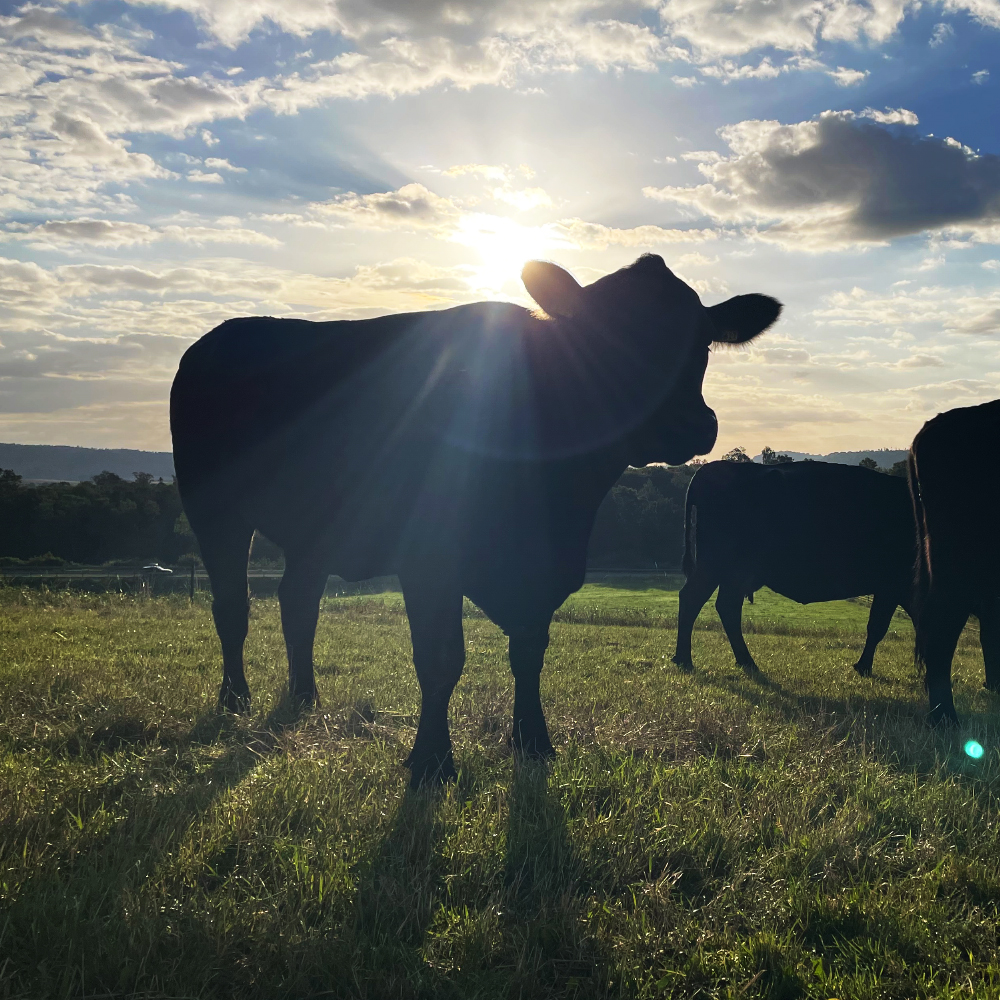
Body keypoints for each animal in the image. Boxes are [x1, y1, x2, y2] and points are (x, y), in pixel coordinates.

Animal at [172, 254, 780, 784]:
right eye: (603, 335)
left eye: (702, 341)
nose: (689, 423)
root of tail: (218, 336)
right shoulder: (430, 560)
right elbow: (441, 660)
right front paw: (431, 761)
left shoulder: (543, 571)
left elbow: (528, 654)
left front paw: (534, 741)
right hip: (214, 509)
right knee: (233, 607)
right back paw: (235, 698)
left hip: (316, 527)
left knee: (298, 602)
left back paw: (304, 696)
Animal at [672, 460, 916, 680]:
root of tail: (711, 468)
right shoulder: (892, 587)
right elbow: (878, 626)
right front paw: (864, 667)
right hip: (717, 566)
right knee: (695, 599)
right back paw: (686, 660)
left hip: (733, 575)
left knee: (724, 606)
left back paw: (743, 662)